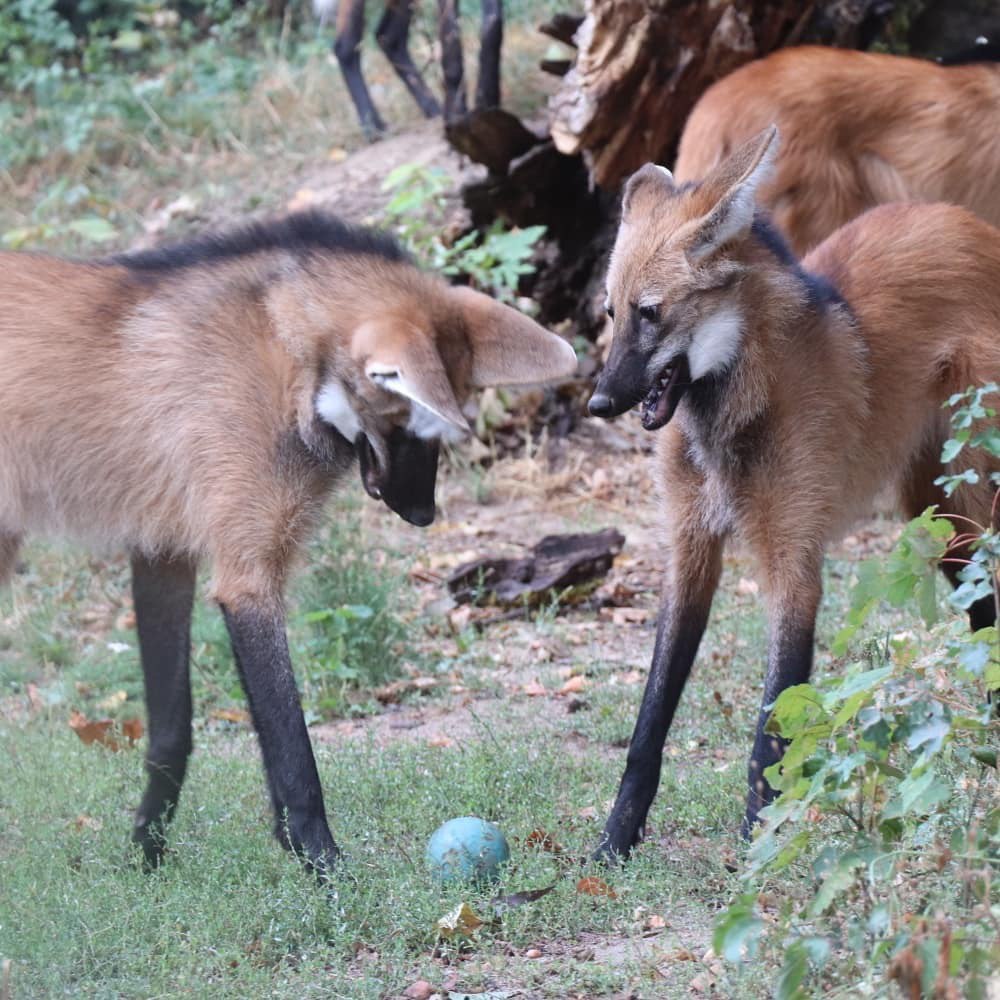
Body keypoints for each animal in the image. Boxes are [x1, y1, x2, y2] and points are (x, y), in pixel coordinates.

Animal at [0, 210, 576, 872]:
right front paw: (323, 867)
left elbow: (171, 730)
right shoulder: (245, 577)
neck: (292, 361)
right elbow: (293, 750)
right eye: (404, 421)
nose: (423, 513)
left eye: (426, 430)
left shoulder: (163, 552)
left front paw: (146, 855)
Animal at [588, 127, 1000, 860]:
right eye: (612, 313)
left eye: (650, 314)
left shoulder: (794, 558)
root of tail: (970, 223)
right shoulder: (690, 549)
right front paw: (617, 838)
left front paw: (763, 840)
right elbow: (650, 717)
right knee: (979, 601)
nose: (599, 402)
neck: (726, 411)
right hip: (939, 511)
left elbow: (773, 721)